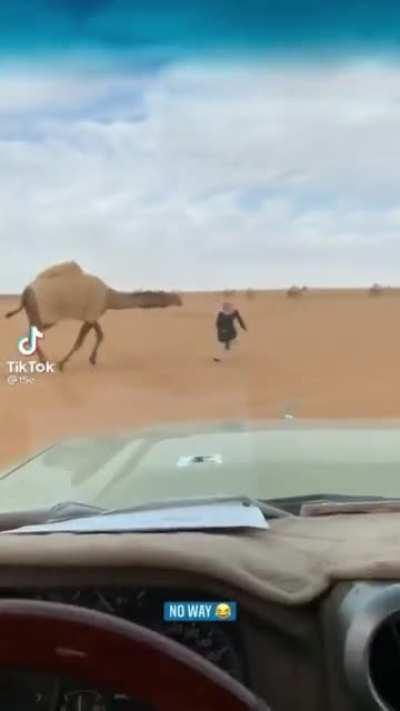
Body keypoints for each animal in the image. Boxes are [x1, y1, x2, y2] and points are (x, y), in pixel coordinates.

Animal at [5, 261, 182, 371]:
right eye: (174, 297)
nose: (181, 302)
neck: (109, 297)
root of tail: (25, 291)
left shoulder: (93, 315)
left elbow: (100, 335)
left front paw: (92, 359)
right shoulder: (93, 312)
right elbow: (80, 342)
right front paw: (61, 363)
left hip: (36, 314)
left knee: (29, 335)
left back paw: (41, 361)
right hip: (44, 315)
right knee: (32, 335)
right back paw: (44, 362)